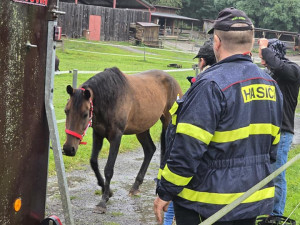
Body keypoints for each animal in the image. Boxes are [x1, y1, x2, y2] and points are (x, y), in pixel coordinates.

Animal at [62, 67, 182, 213]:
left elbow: (108, 169)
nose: (68, 149)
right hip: (141, 128)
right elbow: (93, 162)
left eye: (85, 114)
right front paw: (107, 191)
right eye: (66, 111)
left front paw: (103, 201)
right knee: (150, 150)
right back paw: (135, 186)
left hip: (168, 124)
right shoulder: (98, 134)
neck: (110, 99)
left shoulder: (116, 137)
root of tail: (173, 80)